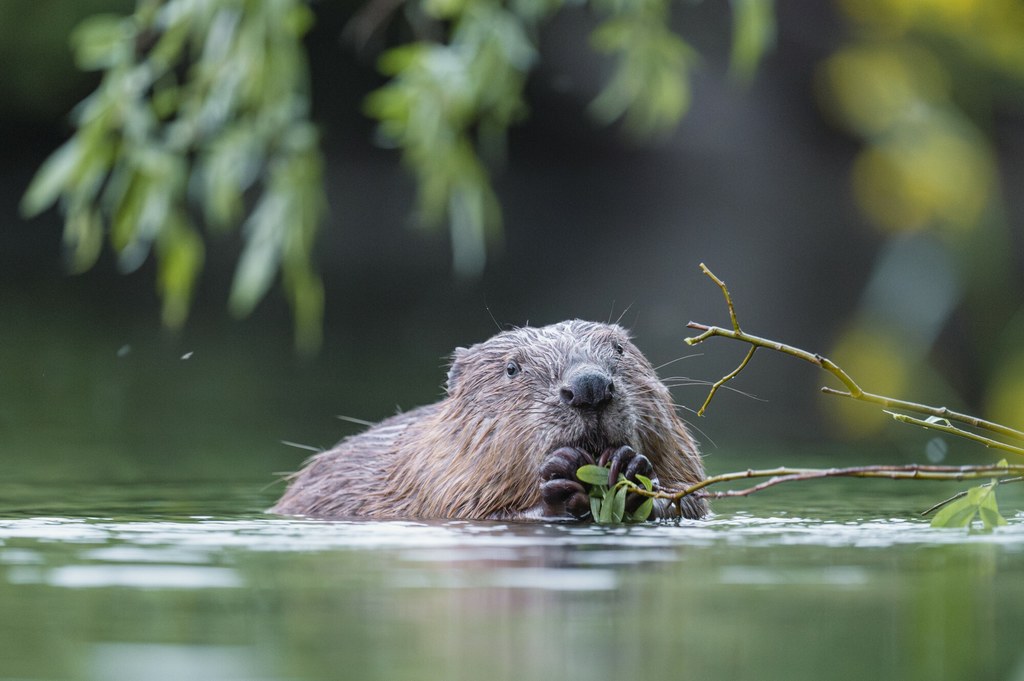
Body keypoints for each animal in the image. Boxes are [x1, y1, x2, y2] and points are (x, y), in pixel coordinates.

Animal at [268, 319, 708, 520]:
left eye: (619, 349)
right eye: (512, 368)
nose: (589, 386)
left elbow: (692, 498)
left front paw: (631, 469)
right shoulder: (431, 480)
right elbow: (473, 510)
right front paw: (560, 481)